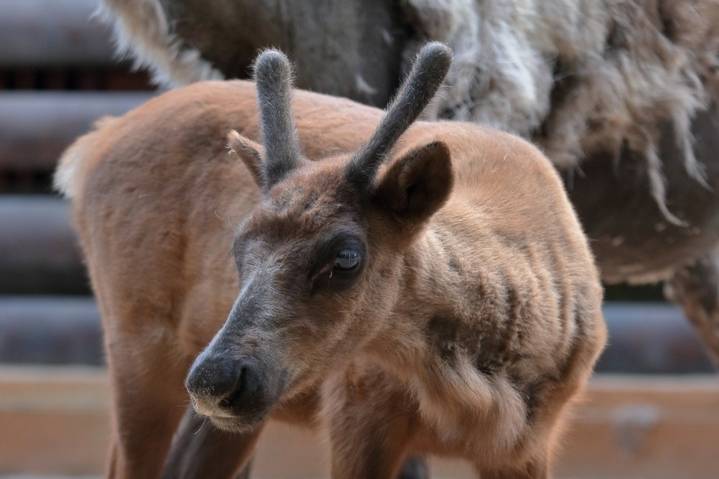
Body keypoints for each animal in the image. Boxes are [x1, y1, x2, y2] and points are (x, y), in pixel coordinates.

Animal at [56, 43, 608, 478]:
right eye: (239, 247)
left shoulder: (528, 445)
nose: (216, 378)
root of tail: (89, 146)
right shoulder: (356, 412)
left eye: (346, 257)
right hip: (136, 343)